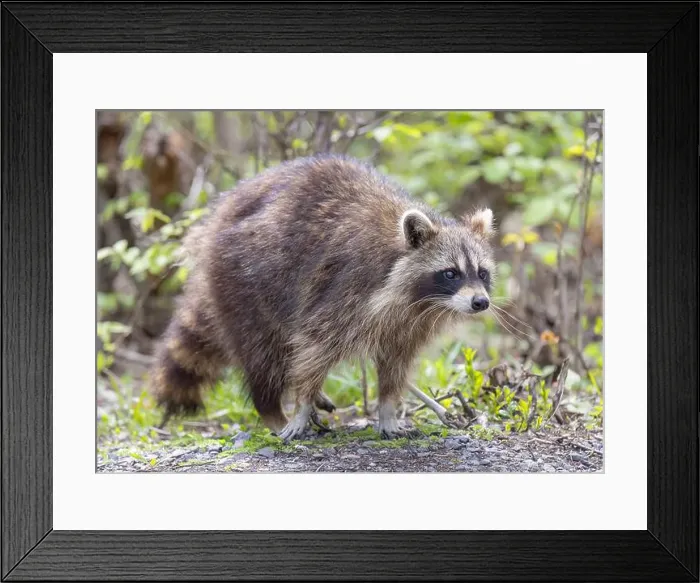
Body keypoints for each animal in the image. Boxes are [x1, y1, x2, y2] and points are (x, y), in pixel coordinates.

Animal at [151, 154, 496, 441]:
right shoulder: (346, 291)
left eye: (482, 273)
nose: (480, 303)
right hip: (242, 282)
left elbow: (395, 363)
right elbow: (315, 346)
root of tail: (213, 224)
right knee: (265, 353)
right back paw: (272, 410)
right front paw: (302, 405)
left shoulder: (409, 322)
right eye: (450, 273)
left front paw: (387, 409)